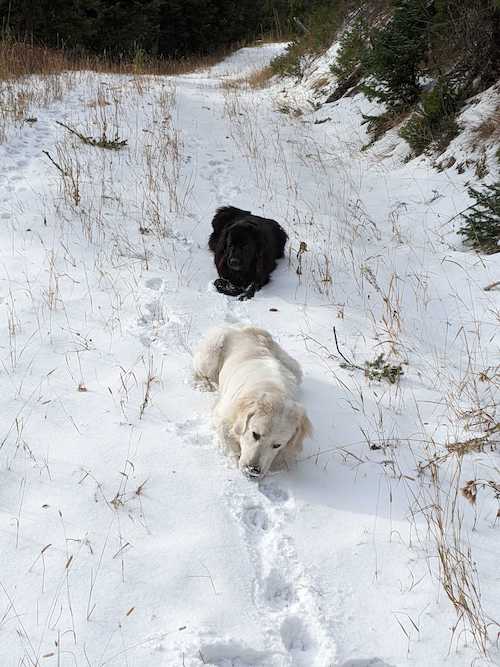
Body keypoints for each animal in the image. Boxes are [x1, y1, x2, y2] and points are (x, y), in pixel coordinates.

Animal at [193, 326, 310, 478]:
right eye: (255, 434)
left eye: (277, 445)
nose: (253, 470)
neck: (273, 389)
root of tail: (242, 328)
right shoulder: (223, 416)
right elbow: (228, 438)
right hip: (211, 353)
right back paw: (205, 384)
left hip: (294, 367)